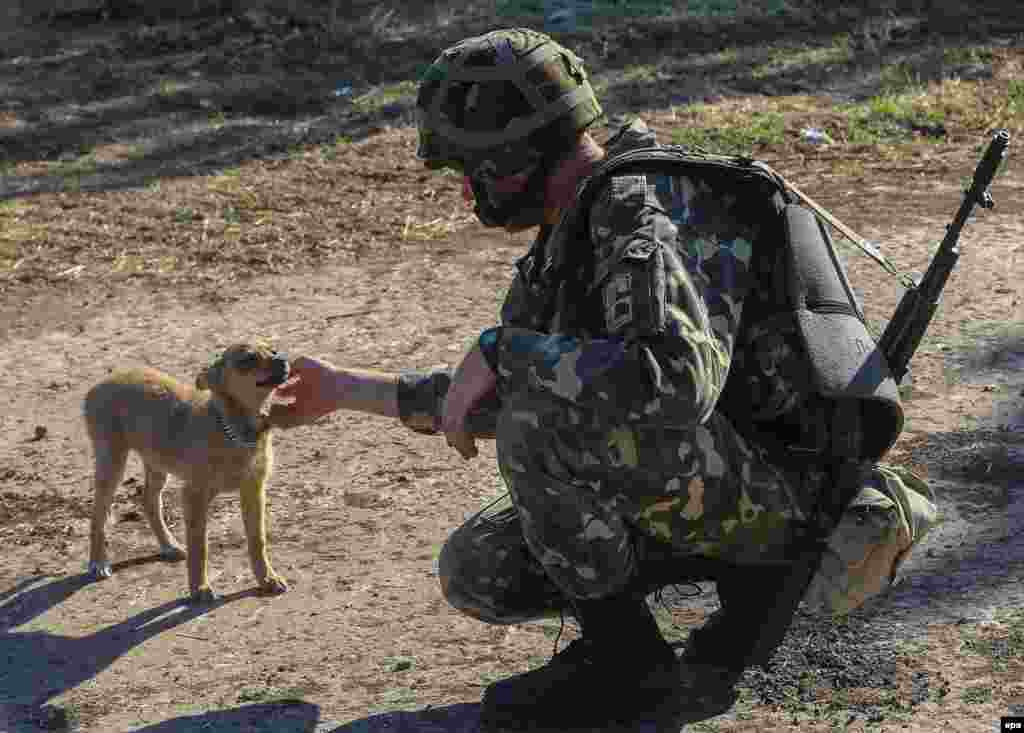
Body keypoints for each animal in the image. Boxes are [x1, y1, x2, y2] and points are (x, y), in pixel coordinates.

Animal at [83, 341, 292, 601]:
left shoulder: (253, 490)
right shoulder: (194, 495)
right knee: (98, 514)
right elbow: (199, 546)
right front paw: (199, 589)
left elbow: (257, 540)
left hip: (156, 462)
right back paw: (98, 562)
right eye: (248, 360)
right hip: (112, 462)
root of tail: (100, 384)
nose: (283, 359)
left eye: (273, 350)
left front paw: (267, 579)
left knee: (149, 501)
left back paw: (169, 546)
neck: (233, 429)